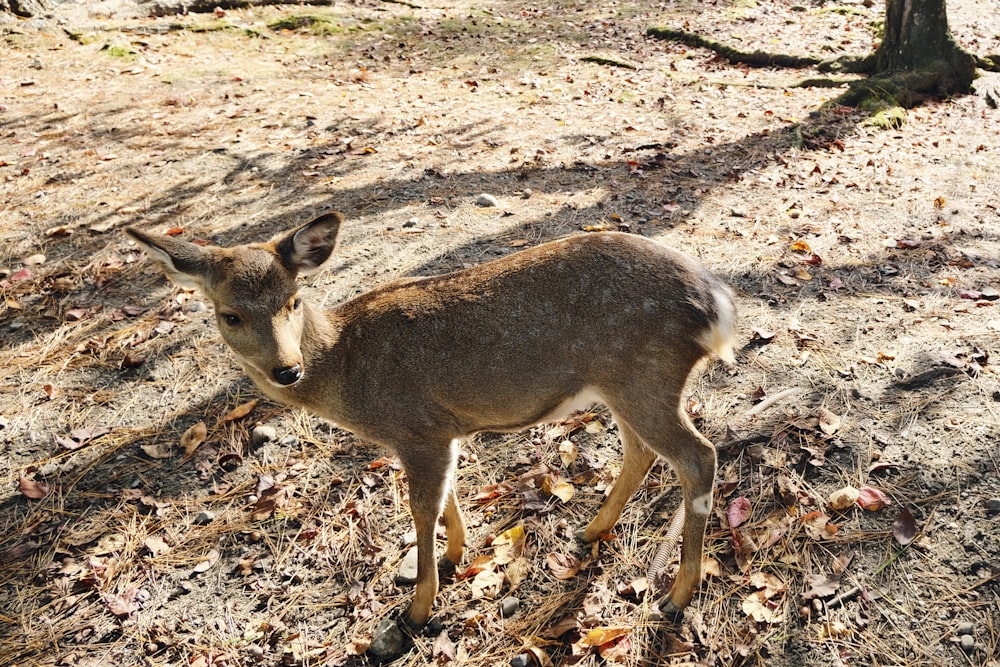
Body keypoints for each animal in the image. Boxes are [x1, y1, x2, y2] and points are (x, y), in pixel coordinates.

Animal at [123, 211, 736, 628]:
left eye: (293, 300)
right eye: (230, 315)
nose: (287, 370)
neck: (348, 369)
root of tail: (718, 305)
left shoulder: (414, 426)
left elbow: (420, 507)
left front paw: (419, 606)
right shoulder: (438, 429)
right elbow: (447, 497)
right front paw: (456, 554)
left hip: (645, 375)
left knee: (698, 457)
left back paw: (677, 594)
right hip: (627, 385)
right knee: (642, 453)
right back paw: (592, 530)